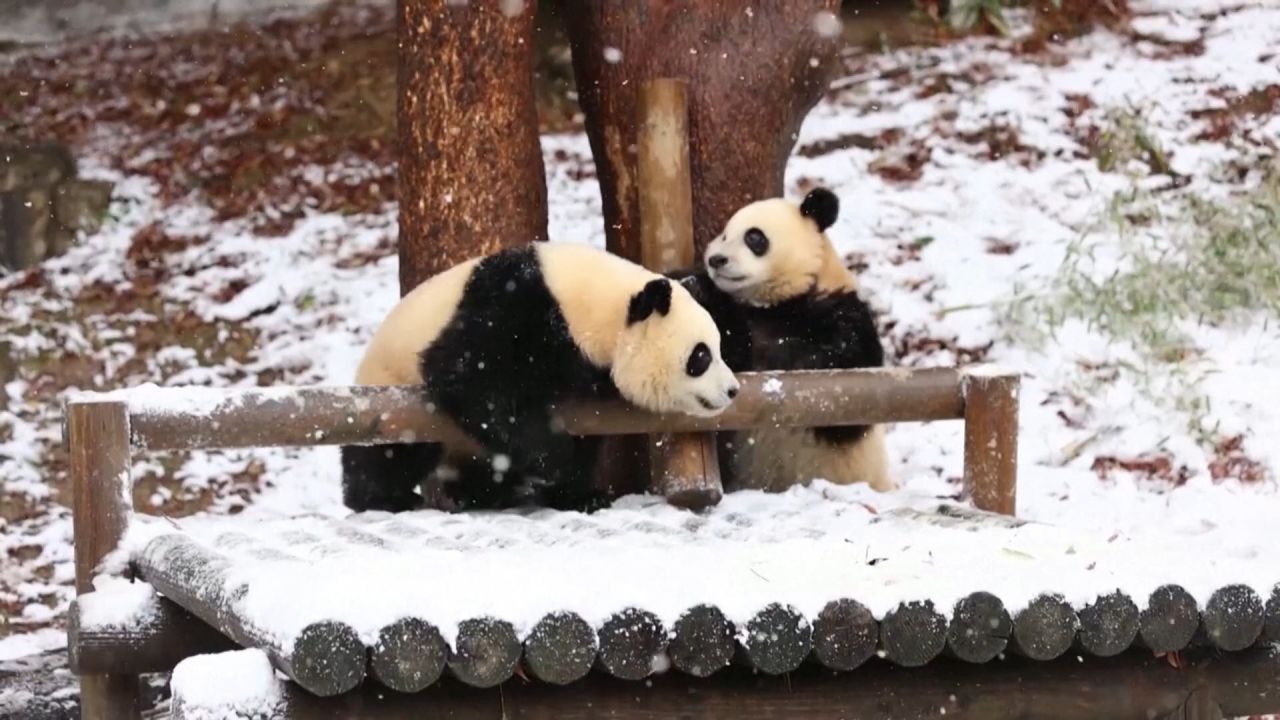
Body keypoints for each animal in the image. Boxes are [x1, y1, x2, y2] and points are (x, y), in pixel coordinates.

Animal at [343, 243, 742, 512]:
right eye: (701, 357)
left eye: (719, 348)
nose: (733, 390)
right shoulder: (516, 307)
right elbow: (468, 377)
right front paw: (554, 463)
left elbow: (587, 431)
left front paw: (580, 494)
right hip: (390, 390)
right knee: (389, 452)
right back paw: (385, 498)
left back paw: (482, 493)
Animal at [675, 185, 896, 491]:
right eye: (724, 235)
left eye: (754, 237)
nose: (715, 260)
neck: (777, 304)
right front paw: (693, 286)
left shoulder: (841, 312)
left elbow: (845, 384)